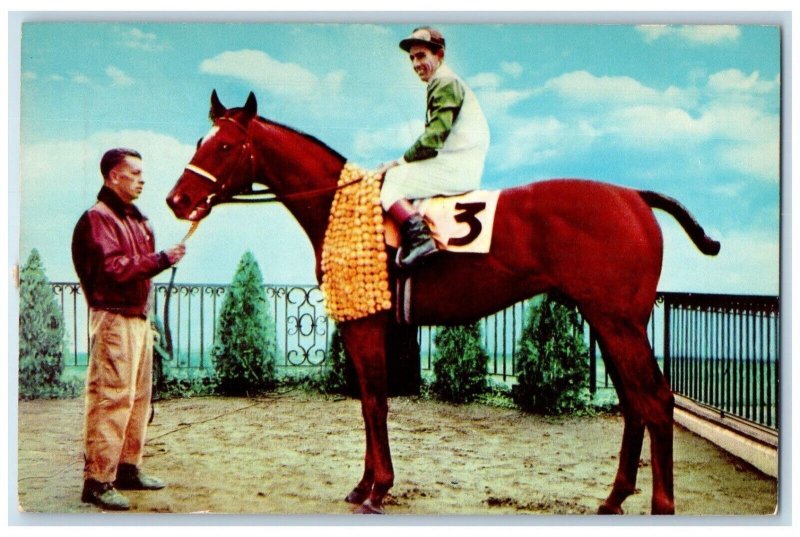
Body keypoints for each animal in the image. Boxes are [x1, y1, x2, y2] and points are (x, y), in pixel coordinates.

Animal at [167, 90, 720, 512]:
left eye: (225, 145)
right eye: (199, 141)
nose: (177, 200)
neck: (341, 205)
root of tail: (634, 195)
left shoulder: (365, 325)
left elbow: (374, 402)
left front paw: (377, 490)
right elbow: (370, 403)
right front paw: (365, 485)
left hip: (619, 321)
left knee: (655, 401)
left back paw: (660, 506)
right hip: (607, 321)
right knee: (634, 404)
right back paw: (613, 499)